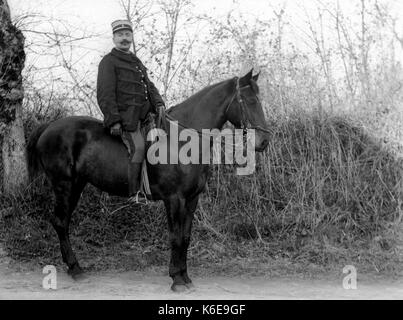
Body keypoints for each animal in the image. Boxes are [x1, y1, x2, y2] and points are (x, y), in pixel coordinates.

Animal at [26, 69, 270, 292]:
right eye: (250, 101)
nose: (264, 141)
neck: (184, 141)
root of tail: (49, 127)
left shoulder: (192, 199)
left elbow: (186, 236)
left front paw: (185, 276)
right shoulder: (174, 199)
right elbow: (175, 237)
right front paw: (177, 280)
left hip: (76, 185)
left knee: (62, 221)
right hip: (64, 186)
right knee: (60, 222)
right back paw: (75, 268)